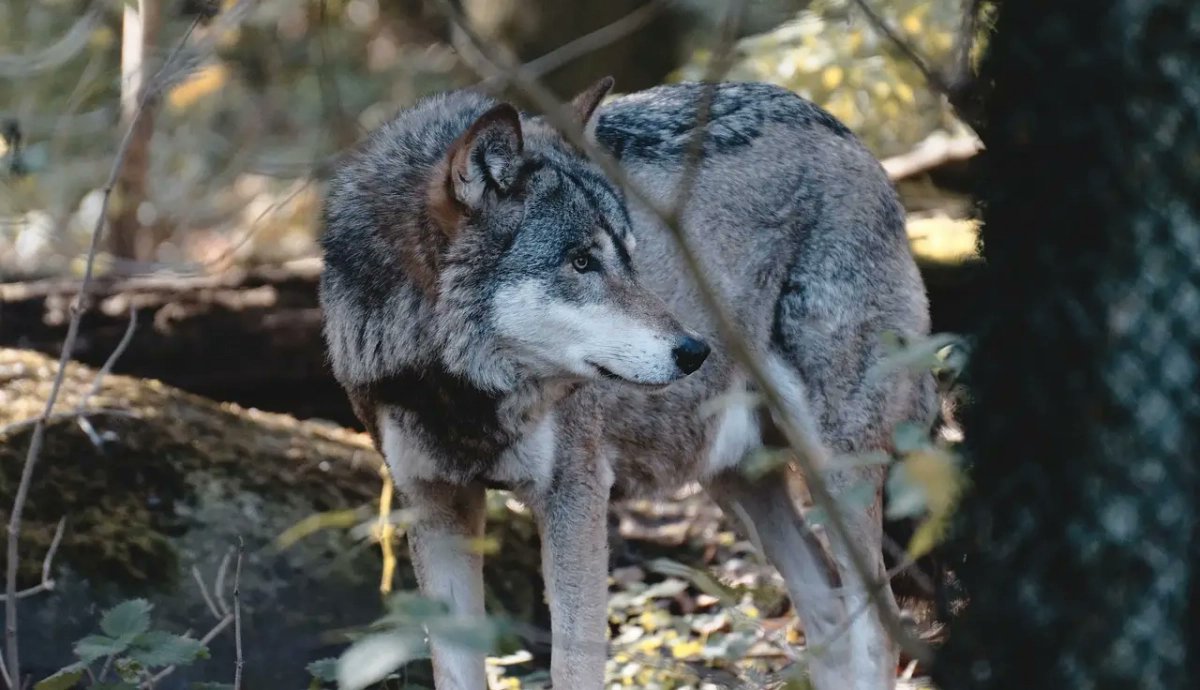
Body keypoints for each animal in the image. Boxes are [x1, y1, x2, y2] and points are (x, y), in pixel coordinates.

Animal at [319, 77, 936, 690]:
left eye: (628, 259)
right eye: (581, 262)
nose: (695, 350)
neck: (458, 395)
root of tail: (845, 134)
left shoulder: (575, 494)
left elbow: (574, 666)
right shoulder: (434, 504)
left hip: (835, 469)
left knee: (880, 627)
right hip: (736, 481)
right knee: (827, 607)